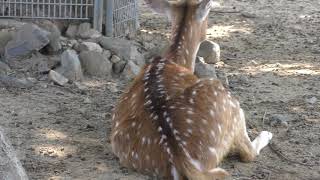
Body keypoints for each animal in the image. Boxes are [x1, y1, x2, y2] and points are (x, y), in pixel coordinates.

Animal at [110, 0, 272, 179]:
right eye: (208, 15)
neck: (176, 61)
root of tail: (184, 161)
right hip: (228, 101)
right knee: (248, 153)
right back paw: (267, 134)